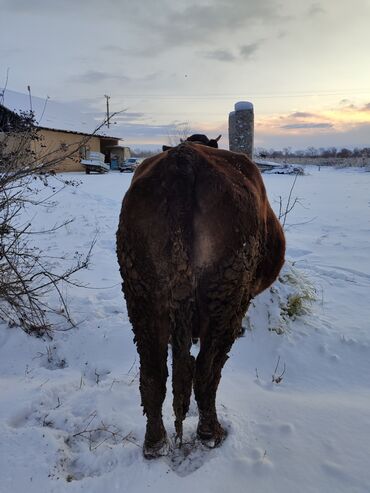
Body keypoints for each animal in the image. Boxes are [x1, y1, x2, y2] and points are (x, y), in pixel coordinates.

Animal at [117, 138, 284, 458]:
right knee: (207, 370)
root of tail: (184, 159)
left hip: (140, 292)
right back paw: (211, 432)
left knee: (153, 372)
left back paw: (155, 442)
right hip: (227, 295)